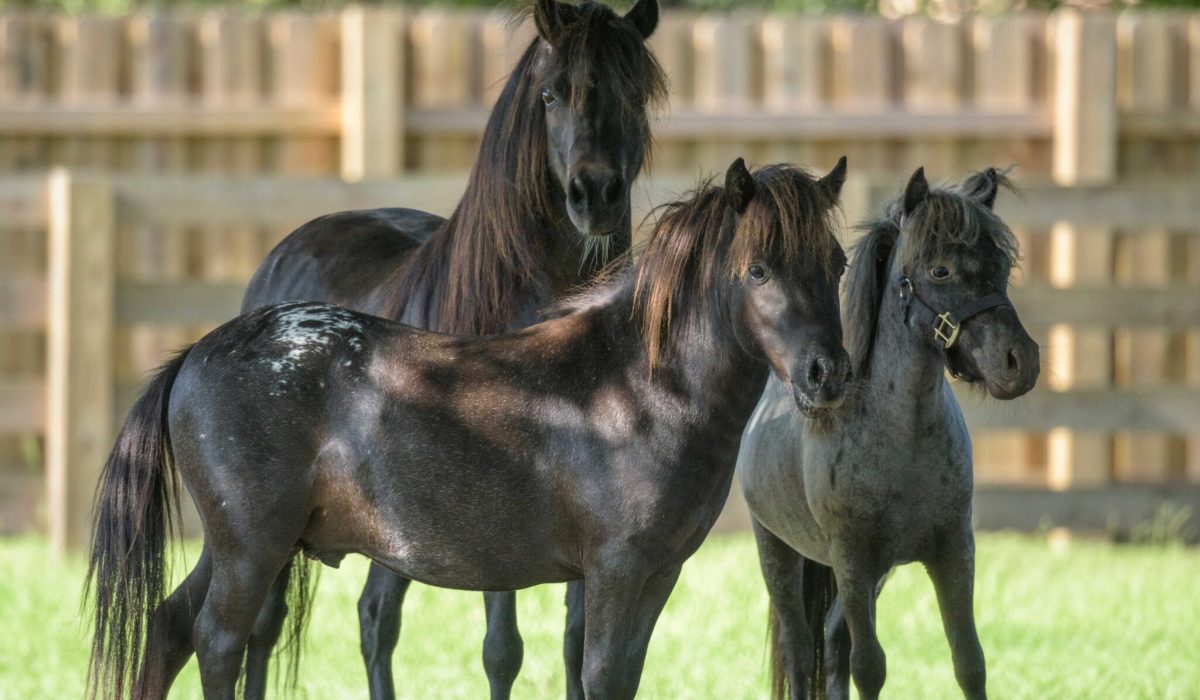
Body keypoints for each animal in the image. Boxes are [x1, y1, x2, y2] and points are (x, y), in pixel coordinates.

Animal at [86, 157, 852, 700]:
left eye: (837, 264)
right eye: (758, 270)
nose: (827, 373)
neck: (637, 388)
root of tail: (196, 353)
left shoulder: (657, 575)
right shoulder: (615, 573)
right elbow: (600, 678)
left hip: (241, 548)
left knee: (169, 629)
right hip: (252, 551)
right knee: (217, 641)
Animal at [236, 1, 664, 698]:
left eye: (636, 94)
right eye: (550, 95)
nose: (594, 195)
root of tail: (281, 257)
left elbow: (578, 643)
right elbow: (502, 649)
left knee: (373, 614)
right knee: (275, 627)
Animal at [737, 167, 1040, 700]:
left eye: (1002, 264)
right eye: (939, 271)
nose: (1019, 361)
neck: (902, 440)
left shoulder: (952, 553)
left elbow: (970, 661)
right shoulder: (854, 561)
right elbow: (870, 667)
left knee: (832, 639)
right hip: (777, 551)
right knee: (800, 649)